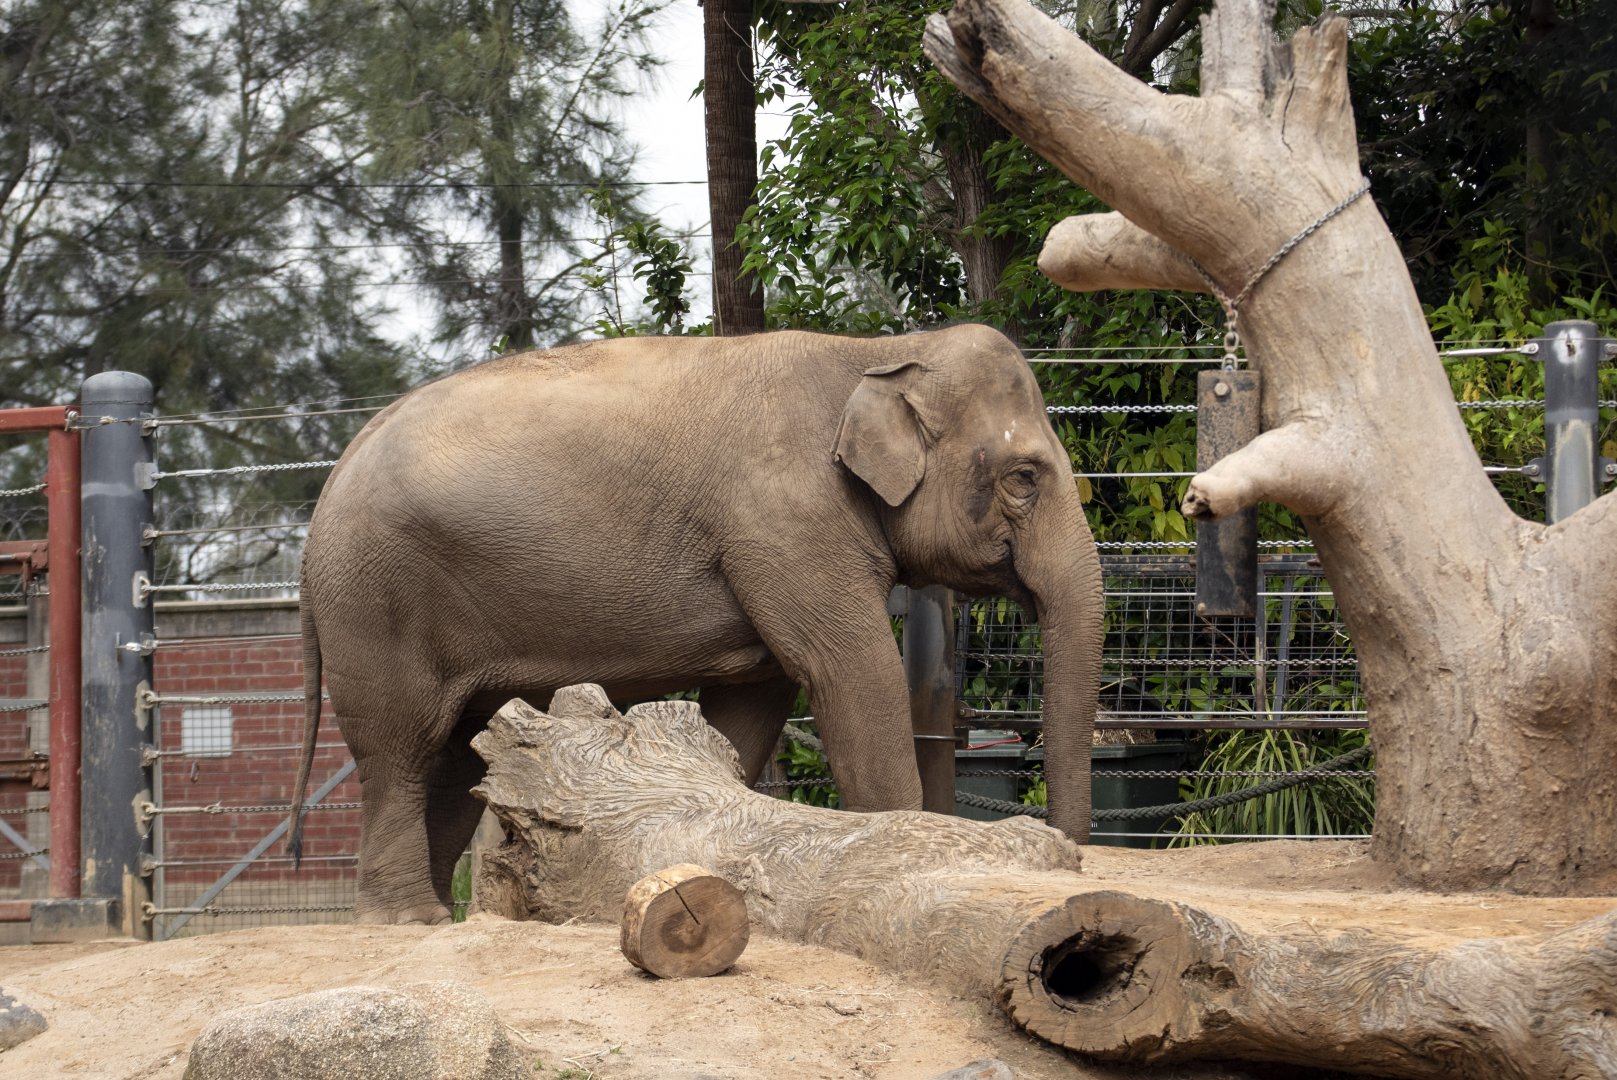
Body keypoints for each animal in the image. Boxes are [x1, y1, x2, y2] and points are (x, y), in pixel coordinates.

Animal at [287, 323, 1104, 925]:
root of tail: (335, 473)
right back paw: (409, 920)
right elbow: (850, 671)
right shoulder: (787, 522)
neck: (874, 350)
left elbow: (752, 703)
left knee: (458, 756)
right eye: (1024, 479)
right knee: (403, 746)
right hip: (376, 598)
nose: (1073, 867)